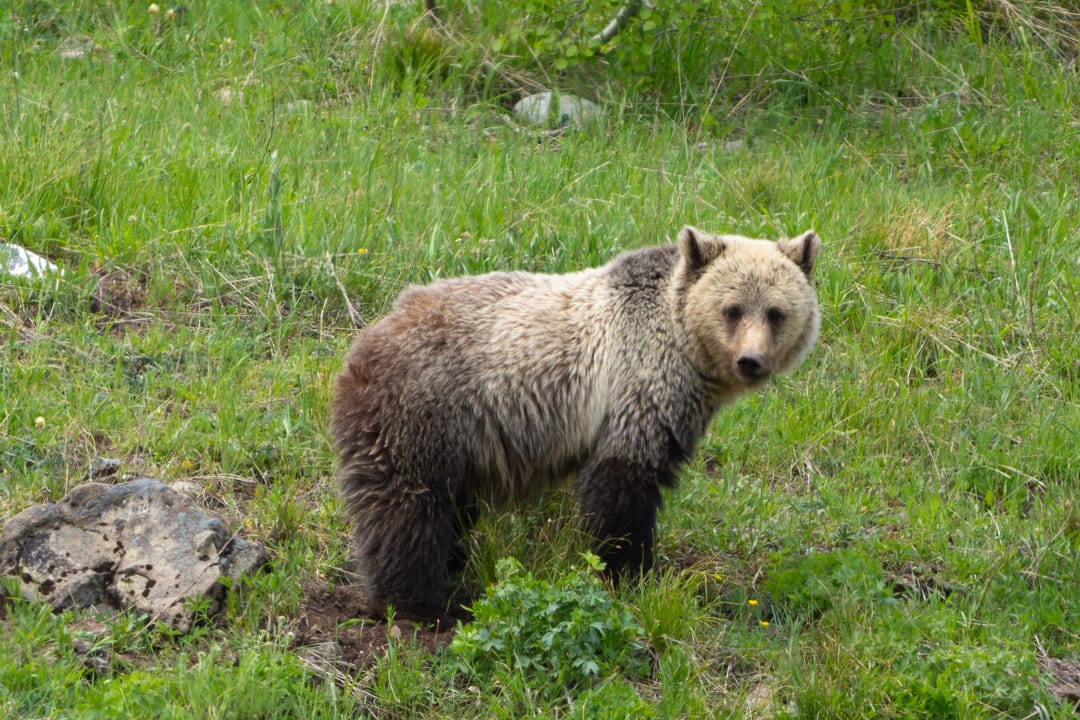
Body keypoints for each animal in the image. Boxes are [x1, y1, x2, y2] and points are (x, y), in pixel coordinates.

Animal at [331, 225, 821, 621]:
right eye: (732, 309)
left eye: (775, 312)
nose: (751, 361)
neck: (686, 352)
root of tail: (364, 340)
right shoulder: (637, 386)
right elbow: (624, 482)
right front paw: (630, 570)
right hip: (426, 408)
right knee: (408, 504)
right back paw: (419, 603)